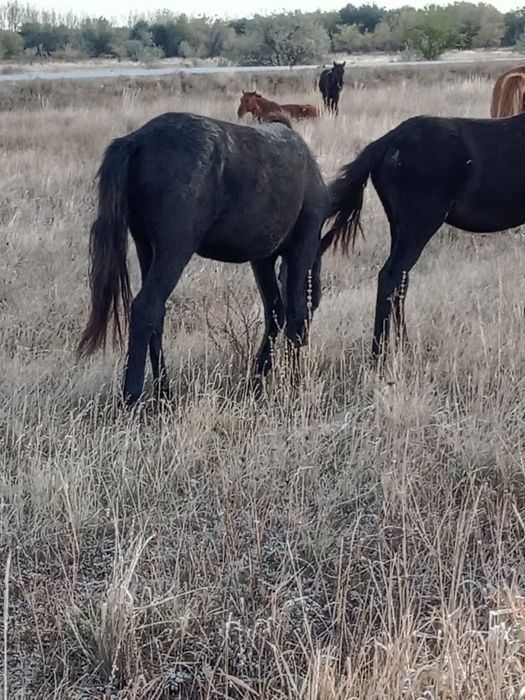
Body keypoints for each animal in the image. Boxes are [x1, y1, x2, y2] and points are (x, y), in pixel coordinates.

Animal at [78, 112, 329, 405]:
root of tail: (137, 140)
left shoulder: (262, 260)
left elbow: (275, 311)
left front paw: (259, 377)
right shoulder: (302, 247)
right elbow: (295, 313)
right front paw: (292, 382)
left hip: (146, 248)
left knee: (156, 316)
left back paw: (165, 393)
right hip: (174, 251)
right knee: (146, 308)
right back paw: (132, 396)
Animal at [324, 111, 525, 357]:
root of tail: (390, 140)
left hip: (399, 228)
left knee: (400, 281)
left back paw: (405, 349)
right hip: (419, 226)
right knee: (390, 277)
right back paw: (379, 357)